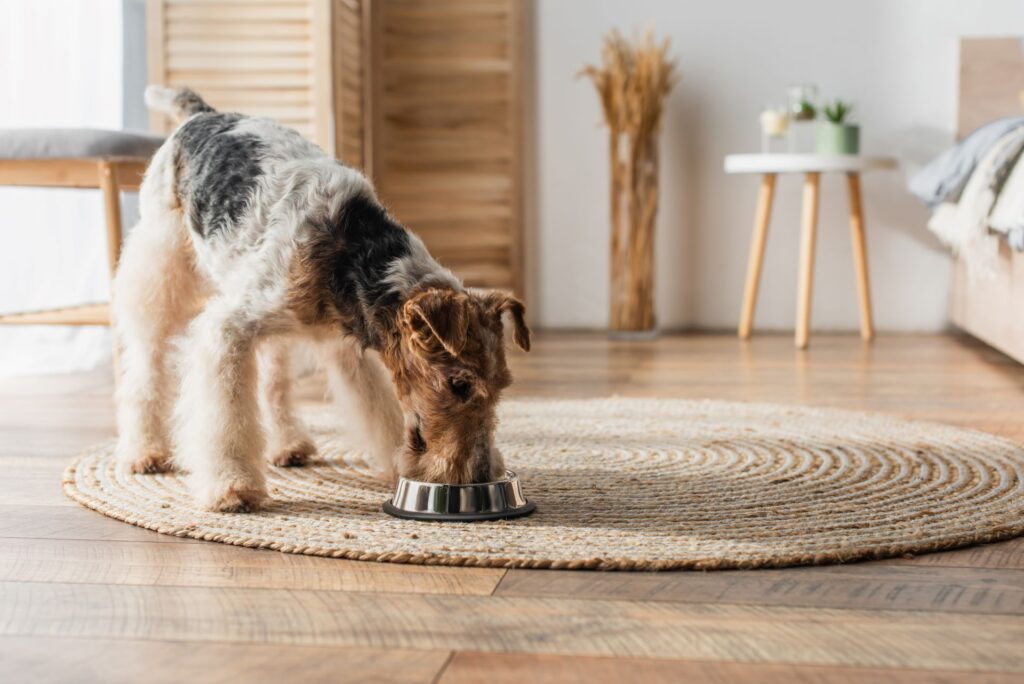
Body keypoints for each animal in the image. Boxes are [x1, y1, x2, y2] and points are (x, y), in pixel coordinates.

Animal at [112, 85, 528, 509]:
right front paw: (233, 486)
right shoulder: (227, 329)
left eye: (501, 386)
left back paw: (288, 444)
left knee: (274, 383)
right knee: (146, 368)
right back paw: (145, 452)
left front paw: (397, 464)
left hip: (271, 327)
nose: (480, 476)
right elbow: (224, 416)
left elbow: (380, 408)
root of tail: (203, 113)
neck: (358, 257)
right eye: (459, 385)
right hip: (161, 270)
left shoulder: (344, 344)